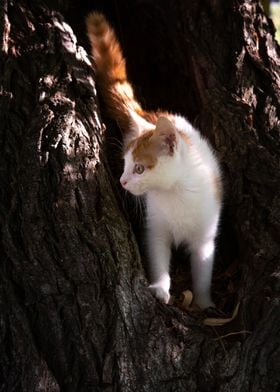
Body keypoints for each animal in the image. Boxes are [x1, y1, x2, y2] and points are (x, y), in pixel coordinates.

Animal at [86, 12, 222, 310]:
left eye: (139, 168)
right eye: (125, 165)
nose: (122, 181)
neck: (175, 193)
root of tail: (148, 116)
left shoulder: (205, 236)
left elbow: (203, 269)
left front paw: (204, 301)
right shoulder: (155, 227)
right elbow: (158, 257)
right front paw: (160, 288)